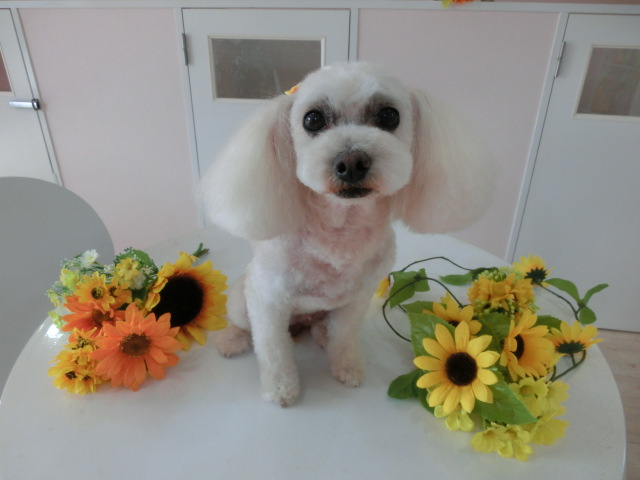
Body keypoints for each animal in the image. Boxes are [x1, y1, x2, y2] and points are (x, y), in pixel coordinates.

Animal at [199, 62, 493, 407]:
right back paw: (233, 339)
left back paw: (321, 334)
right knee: (243, 324)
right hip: (241, 298)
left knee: (324, 327)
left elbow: (345, 337)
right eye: (312, 119)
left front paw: (347, 367)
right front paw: (282, 390)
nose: (351, 161)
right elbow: (274, 352)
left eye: (389, 116)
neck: (341, 226)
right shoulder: (268, 300)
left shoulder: (356, 298)